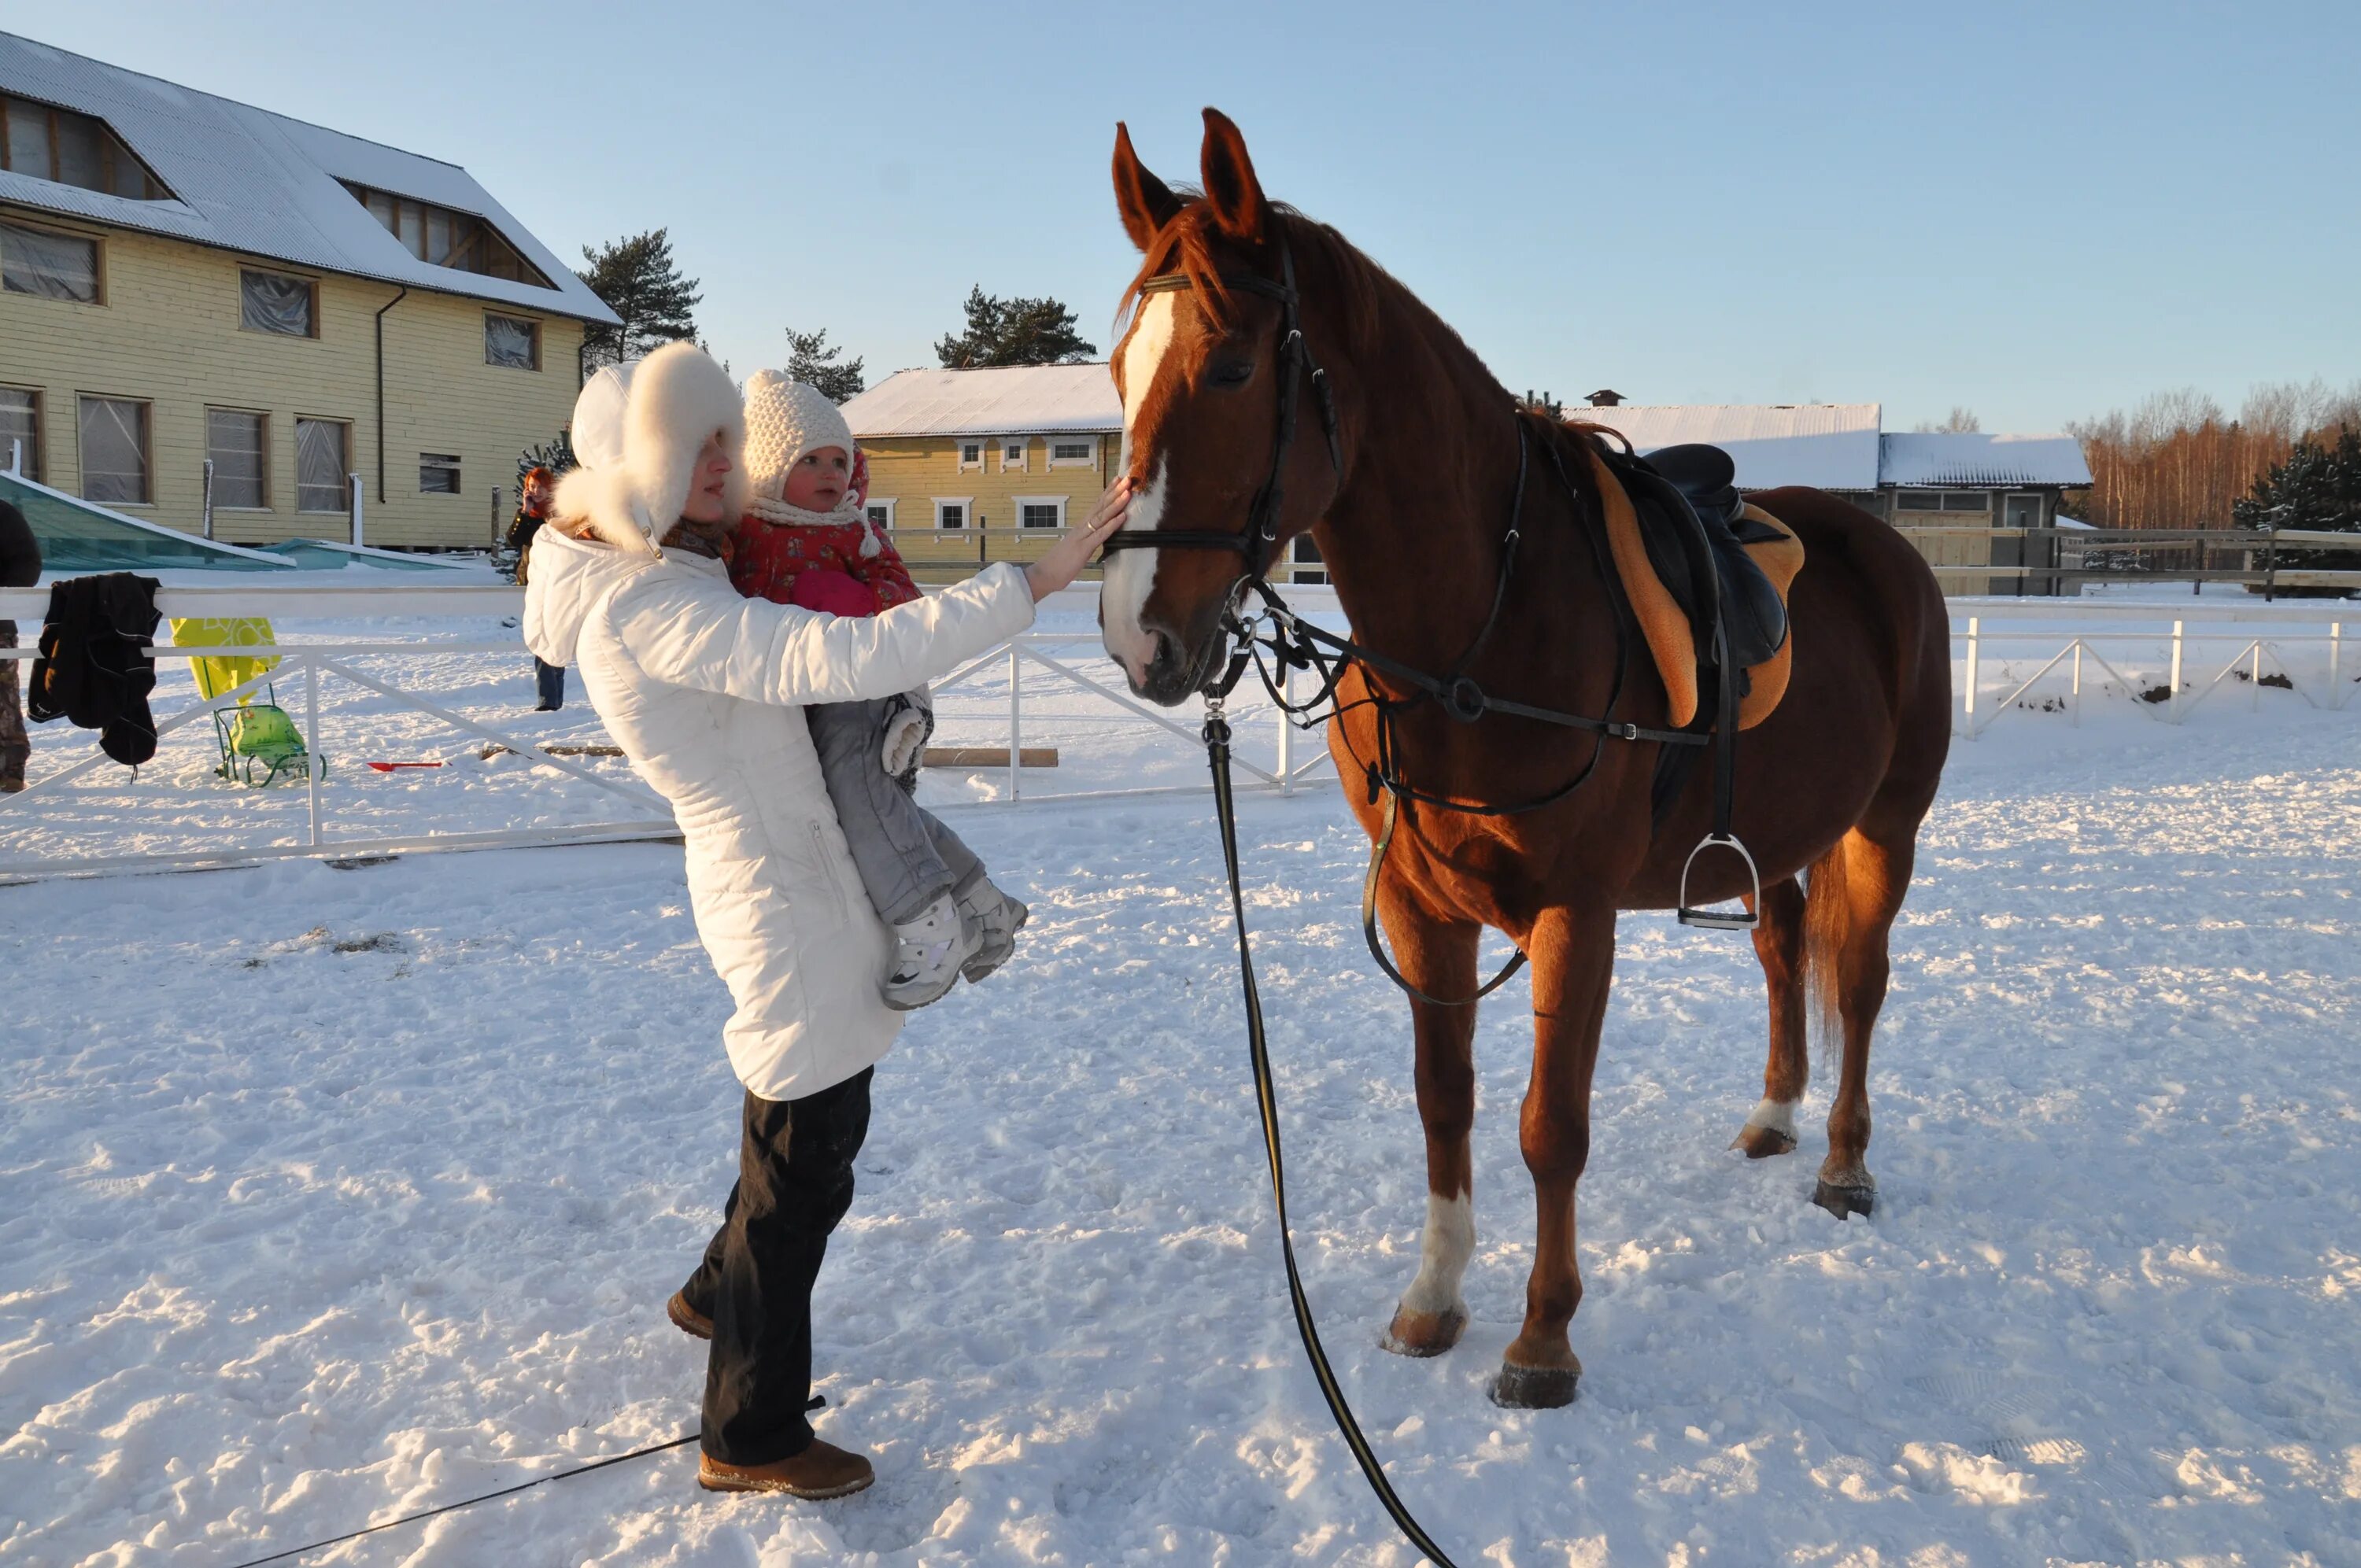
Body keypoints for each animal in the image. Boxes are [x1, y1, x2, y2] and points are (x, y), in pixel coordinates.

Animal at [1105, 110, 1955, 1407]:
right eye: (1117, 368)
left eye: (1235, 368)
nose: (1134, 631)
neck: (1482, 626)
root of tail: (1889, 551)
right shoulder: (1423, 908)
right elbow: (1444, 1104)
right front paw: (1434, 1296)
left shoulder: (1576, 914)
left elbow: (1551, 1125)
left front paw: (1543, 1339)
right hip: (1774, 837)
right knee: (1782, 950)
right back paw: (1774, 1114)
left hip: (1886, 826)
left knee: (1859, 981)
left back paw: (1846, 1166)